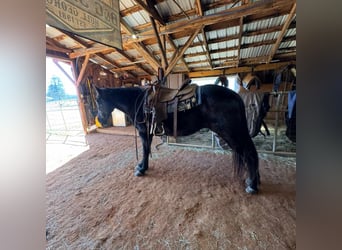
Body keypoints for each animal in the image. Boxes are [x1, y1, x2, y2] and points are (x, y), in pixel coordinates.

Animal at [95, 84, 260, 193]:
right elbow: (147, 150)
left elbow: (145, 150)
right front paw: (143, 166)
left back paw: (252, 185)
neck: (139, 102)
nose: (101, 120)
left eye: (98, 101)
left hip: (231, 133)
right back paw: (254, 181)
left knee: (249, 153)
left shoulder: (144, 132)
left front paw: (141, 169)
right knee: (250, 152)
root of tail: (236, 96)